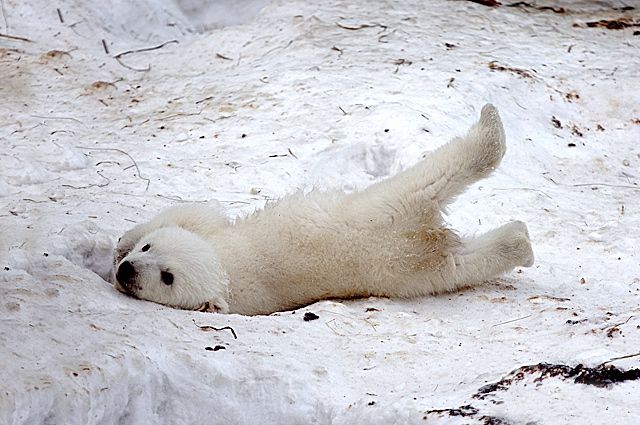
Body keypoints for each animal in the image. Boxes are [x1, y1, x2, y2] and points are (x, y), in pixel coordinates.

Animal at [112, 105, 532, 314]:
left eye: (167, 277)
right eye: (150, 250)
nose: (127, 270)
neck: (225, 267)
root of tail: (420, 234)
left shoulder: (236, 290)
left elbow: (193, 214)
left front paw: (120, 243)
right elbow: (190, 217)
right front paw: (124, 244)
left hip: (383, 208)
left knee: (439, 170)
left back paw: (490, 124)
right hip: (409, 268)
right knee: (462, 258)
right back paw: (521, 243)